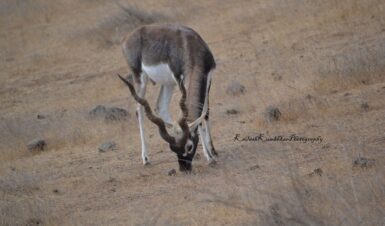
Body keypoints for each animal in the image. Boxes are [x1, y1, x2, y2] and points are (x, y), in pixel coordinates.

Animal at [118, 23, 216, 171]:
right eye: (173, 149)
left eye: (189, 146)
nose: (184, 168)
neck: (188, 44)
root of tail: (127, 38)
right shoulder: (180, 80)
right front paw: (209, 157)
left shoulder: (208, 77)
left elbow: (205, 113)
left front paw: (212, 151)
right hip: (140, 78)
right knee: (139, 111)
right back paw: (145, 158)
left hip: (168, 83)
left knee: (161, 107)